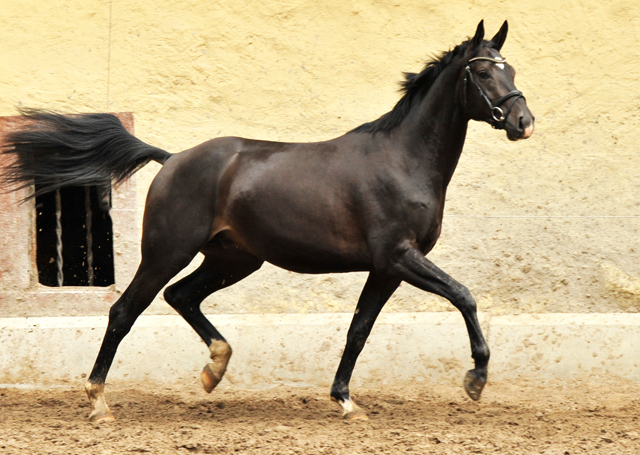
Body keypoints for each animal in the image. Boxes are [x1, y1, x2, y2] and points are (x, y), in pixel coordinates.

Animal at [3, 20, 536, 420]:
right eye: (483, 71)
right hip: (166, 251)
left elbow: (359, 329)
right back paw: (98, 402)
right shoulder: (400, 256)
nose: (523, 122)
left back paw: (214, 369)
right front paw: (475, 380)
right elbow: (463, 295)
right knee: (124, 311)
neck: (402, 160)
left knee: (181, 297)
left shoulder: (386, 268)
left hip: (234, 260)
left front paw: (345, 401)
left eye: (511, 68)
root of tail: (172, 158)